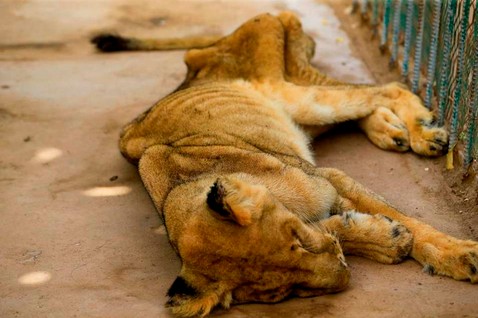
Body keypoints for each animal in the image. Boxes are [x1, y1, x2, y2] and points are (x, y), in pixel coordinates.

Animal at [92, 11, 478, 316]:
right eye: (288, 292)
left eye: (298, 240)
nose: (344, 272)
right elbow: (344, 229)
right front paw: (386, 238)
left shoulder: (328, 177)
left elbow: (414, 224)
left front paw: (460, 255)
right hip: (300, 110)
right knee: (363, 101)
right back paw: (391, 131)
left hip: (292, 92)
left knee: (386, 87)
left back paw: (422, 132)